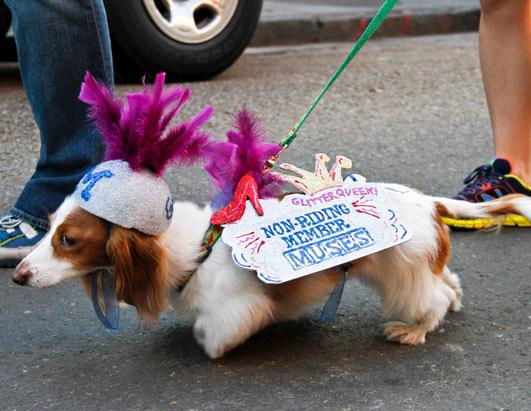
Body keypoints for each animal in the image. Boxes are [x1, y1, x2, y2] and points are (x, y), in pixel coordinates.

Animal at [12, 186, 531, 358]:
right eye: (49, 226)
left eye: (68, 240)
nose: (17, 276)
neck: (197, 249)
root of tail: (426, 202)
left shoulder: (238, 308)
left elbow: (213, 330)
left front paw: (209, 346)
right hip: (415, 265)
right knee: (447, 283)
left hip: (400, 274)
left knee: (433, 298)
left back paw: (415, 330)